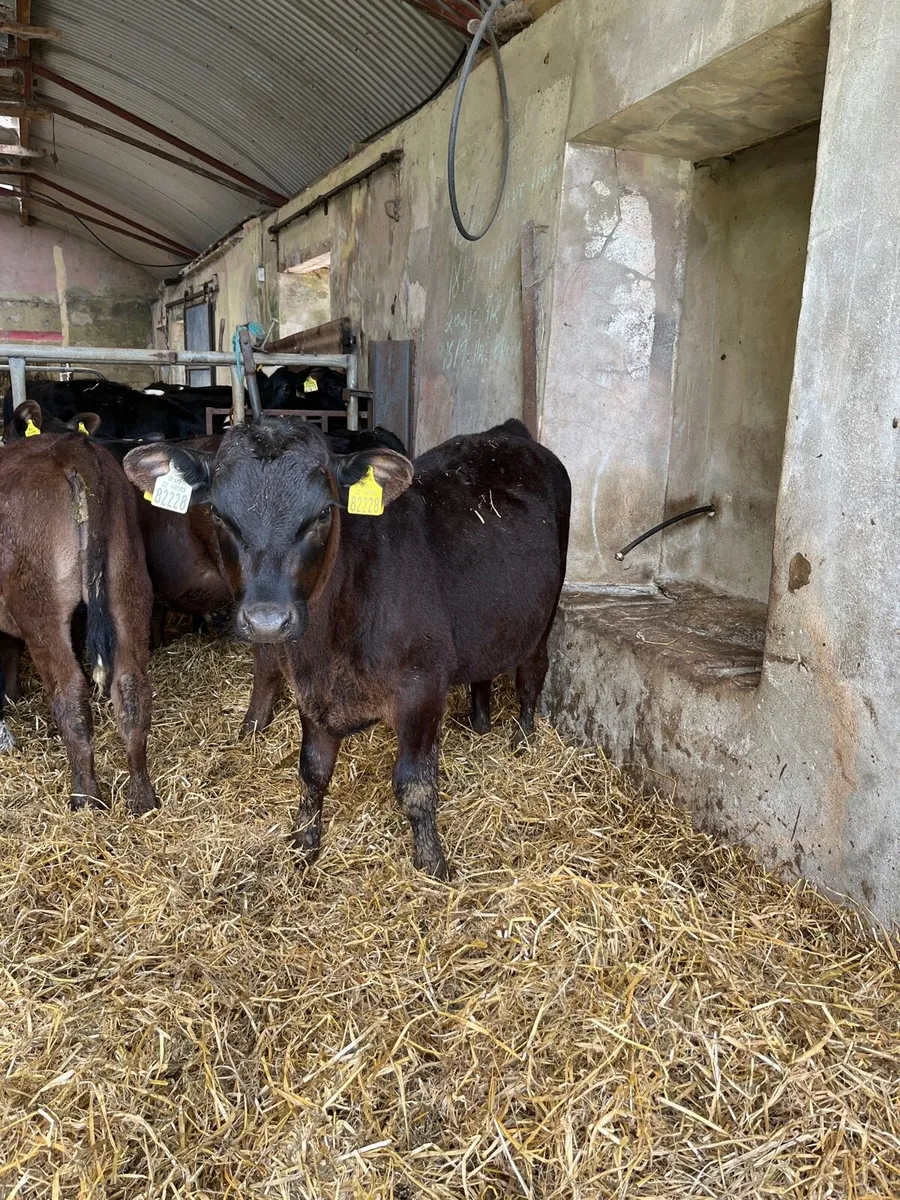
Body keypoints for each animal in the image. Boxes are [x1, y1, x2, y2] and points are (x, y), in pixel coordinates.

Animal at [0, 432, 157, 813]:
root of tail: (69, 444)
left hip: (40, 606)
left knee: (69, 692)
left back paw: (85, 798)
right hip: (127, 584)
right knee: (132, 687)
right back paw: (142, 799)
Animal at [123, 417, 570, 878]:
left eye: (323, 513)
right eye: (216, 512)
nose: (267, 620)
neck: (331, 644)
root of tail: (507, 433)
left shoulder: (423, 686)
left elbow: (415, 784)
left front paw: (432, 863)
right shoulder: (310, 689)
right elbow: (313, 771)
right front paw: (304, 843)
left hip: (544, 617)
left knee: (531, 676)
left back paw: (523, 741)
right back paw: (480, 723)